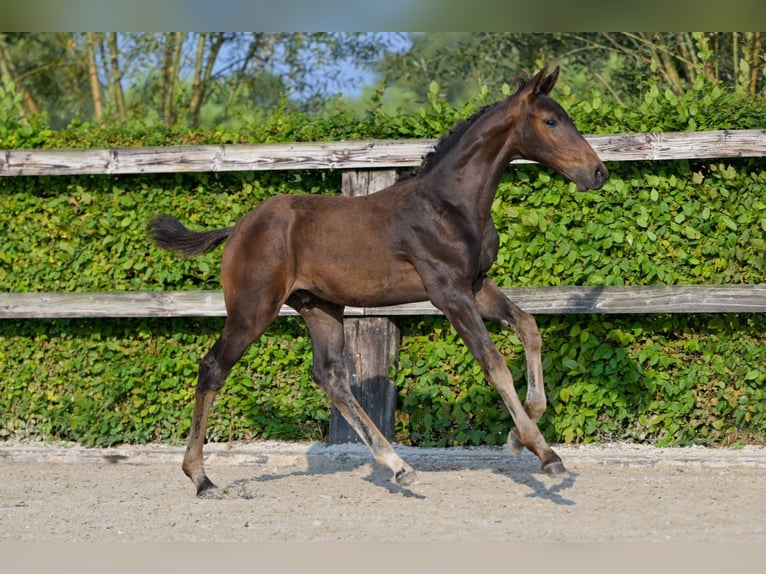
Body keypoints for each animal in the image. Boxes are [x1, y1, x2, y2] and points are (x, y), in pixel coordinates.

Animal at [148, 67, 608, 498]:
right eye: (551, 121)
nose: (598, 172)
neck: (449, 205)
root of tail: (238, 229)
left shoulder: (476, 286)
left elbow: (529, 326)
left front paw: (518, 432)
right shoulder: (449, 294)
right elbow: (493, 363)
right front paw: (544, 453)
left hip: (320, 307)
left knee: (331, 377)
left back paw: (399, 466)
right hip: (252, 309)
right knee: (214, 368)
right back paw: (201, 478)